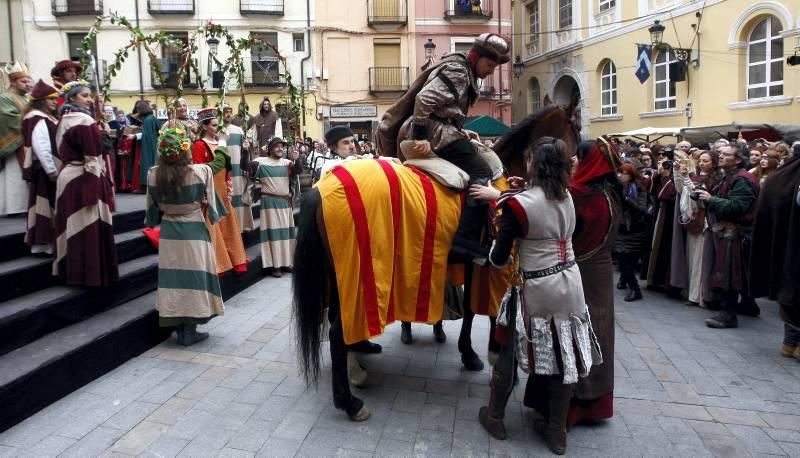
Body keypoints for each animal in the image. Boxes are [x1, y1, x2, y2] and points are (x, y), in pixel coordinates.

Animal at [294, 98, 580, 420]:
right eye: (575, 129)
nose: (574, 169)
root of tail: (320, 188)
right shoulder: (496, 265)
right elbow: (489, 310)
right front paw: (493, 353)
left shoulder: (474, 265)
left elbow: (470, 310)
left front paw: (469, 353)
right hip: (356, 276)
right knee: (336, 331)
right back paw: (350, 401)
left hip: (338, 274)